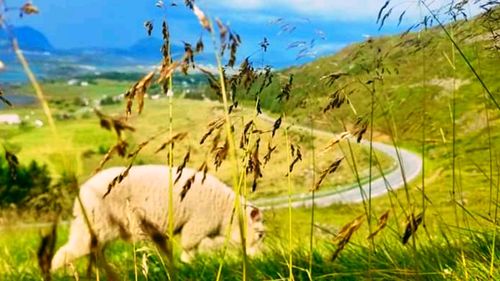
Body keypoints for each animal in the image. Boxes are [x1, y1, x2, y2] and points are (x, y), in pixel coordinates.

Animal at [51, 164, 266, 270]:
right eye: (260, 234)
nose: (260, 258)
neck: (227, 212)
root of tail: (80, 195)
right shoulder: (197, 224)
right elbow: (189, 246)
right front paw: (188, 263)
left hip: (94, 226)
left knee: (93, 251)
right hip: (98, 223)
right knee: (71, 250)